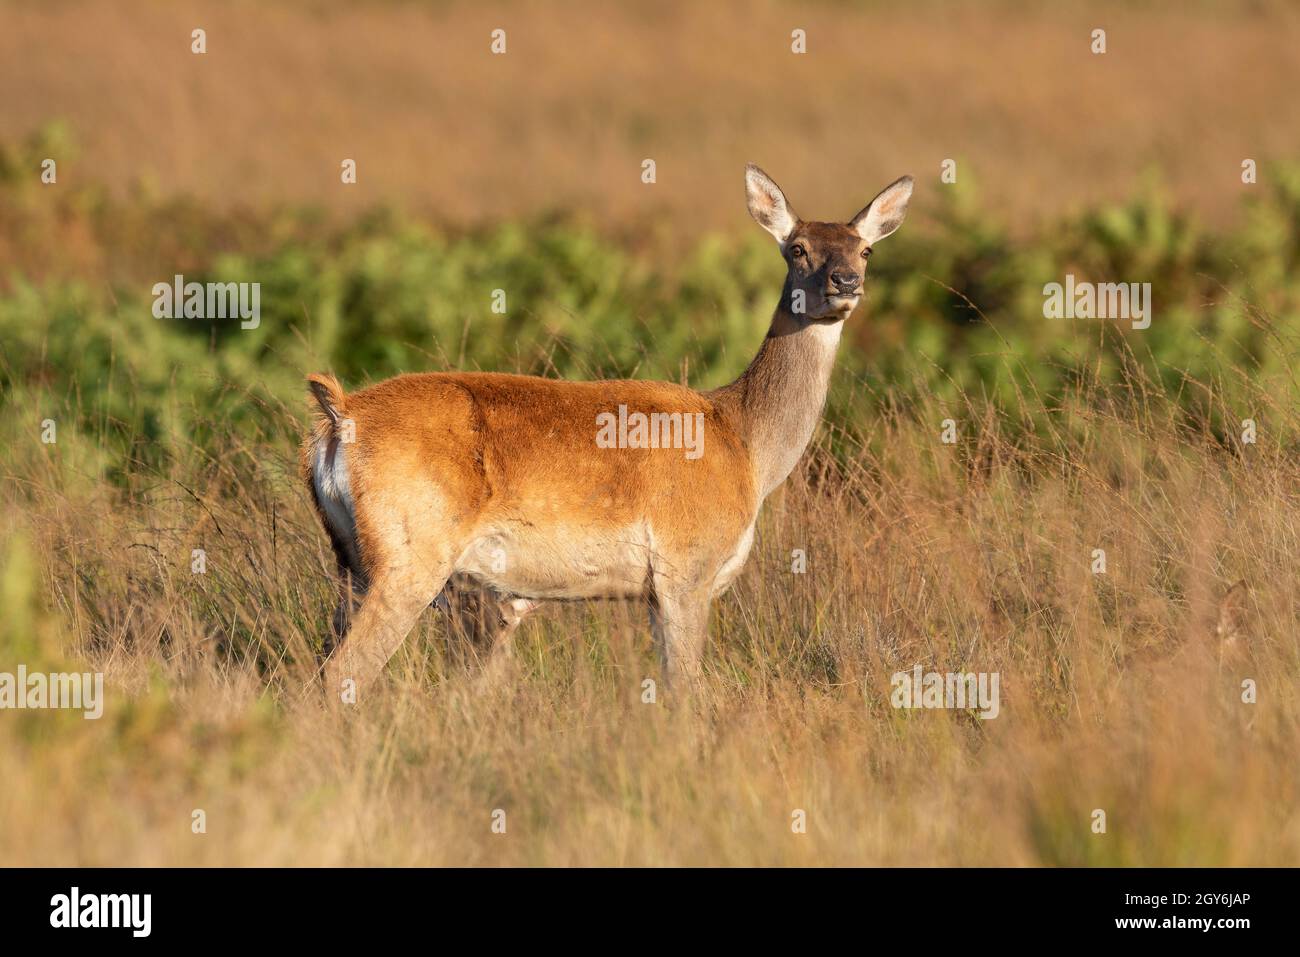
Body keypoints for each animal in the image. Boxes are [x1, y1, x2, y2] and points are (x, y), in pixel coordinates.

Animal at [302, 165, 913, 698]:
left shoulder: (653, 594)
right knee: (342, 673)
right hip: (409, 559)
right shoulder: (684, 570)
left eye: (865, 248)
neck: (746, 445)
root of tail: (339, 417)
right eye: (797, 248)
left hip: (351, 562)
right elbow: (685, 688)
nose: (845, 282)